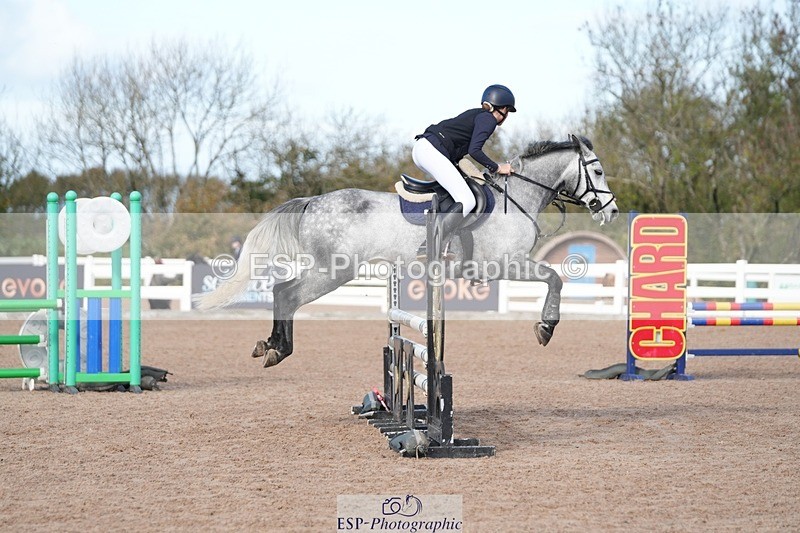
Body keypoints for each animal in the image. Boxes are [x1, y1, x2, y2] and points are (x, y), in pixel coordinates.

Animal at [196, 134, 619, 367]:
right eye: (597, 172)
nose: (612, 211)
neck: (515, 197)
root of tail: (312, 201)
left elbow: (553, 278)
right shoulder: (506, 264)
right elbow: (555, 278)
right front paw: (545, 328)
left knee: (281, 292)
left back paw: (268, 345)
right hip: (334, 270)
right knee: (286, 293)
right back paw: (278, 349)